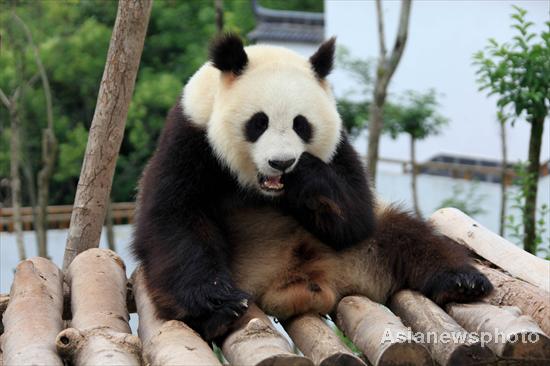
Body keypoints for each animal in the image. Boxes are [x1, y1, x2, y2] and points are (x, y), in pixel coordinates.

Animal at [133, 33, 492, 340]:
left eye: (301, 124)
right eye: (258, 122)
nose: (281, 162)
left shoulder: (339, 144)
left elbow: (356, 213)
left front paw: (306, 173)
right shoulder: (191, 136)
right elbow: (177, 215)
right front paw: (218, 303)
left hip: (366, 247)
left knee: (406, 236)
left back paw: (463, 281)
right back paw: (220, 316)